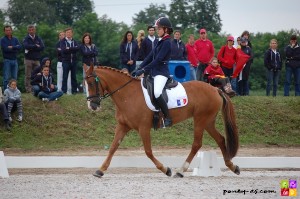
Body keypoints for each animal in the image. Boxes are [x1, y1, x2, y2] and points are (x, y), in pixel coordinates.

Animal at [84, 65, 239, 177]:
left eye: (91, 83)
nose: (92, 106)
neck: (128, 95)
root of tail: (215, 89)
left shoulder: (143, 128)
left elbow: (148, 151)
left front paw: (166, 169)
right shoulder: (123, 126)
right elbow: (113, 147)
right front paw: (100, 170)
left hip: (200, 119)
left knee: (197, 144)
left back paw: (180, 171)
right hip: (208, 121)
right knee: (220, 139)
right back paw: (232, 166)